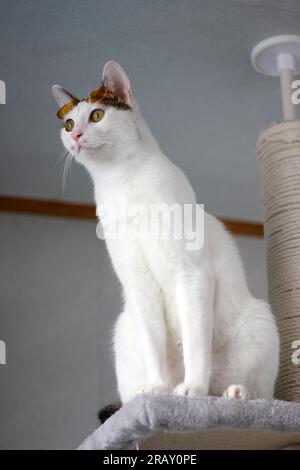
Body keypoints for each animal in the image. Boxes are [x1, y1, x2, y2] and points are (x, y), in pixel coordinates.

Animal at [52, 59, 280, 404]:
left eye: (97, 115)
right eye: (68, 124)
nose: (76, 135)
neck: (122, 181)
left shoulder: (191, 272)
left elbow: (195, 343)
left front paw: (191, 390)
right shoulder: (138, 283)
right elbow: (153, 346)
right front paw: (158, 389)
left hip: (260, 322)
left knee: (254, 391)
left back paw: (233, 393)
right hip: (124, 329)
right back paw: (143, 395)